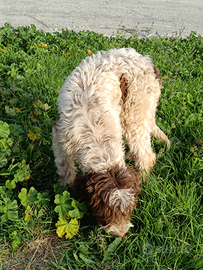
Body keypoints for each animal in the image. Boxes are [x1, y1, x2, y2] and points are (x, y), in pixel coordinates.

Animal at [52, 47, 170, 237]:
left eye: (129, 210)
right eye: (104, 211)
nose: (121, 234)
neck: (96, 134)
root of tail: (147, 62)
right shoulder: (59, 137)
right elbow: (65, 170)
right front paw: (64, 189)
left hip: (134, 113)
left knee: (147, 156)